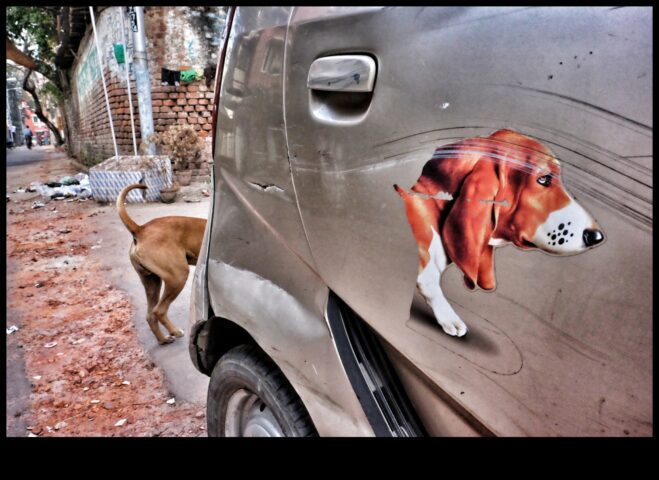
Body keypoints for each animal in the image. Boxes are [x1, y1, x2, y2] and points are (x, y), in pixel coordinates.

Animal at [117, 184, 208, 344]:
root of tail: (141, 229)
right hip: (178, 276)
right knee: (159, 311)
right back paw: (175, 332)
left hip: (152, 281)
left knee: (150, 315)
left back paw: (164, 339)